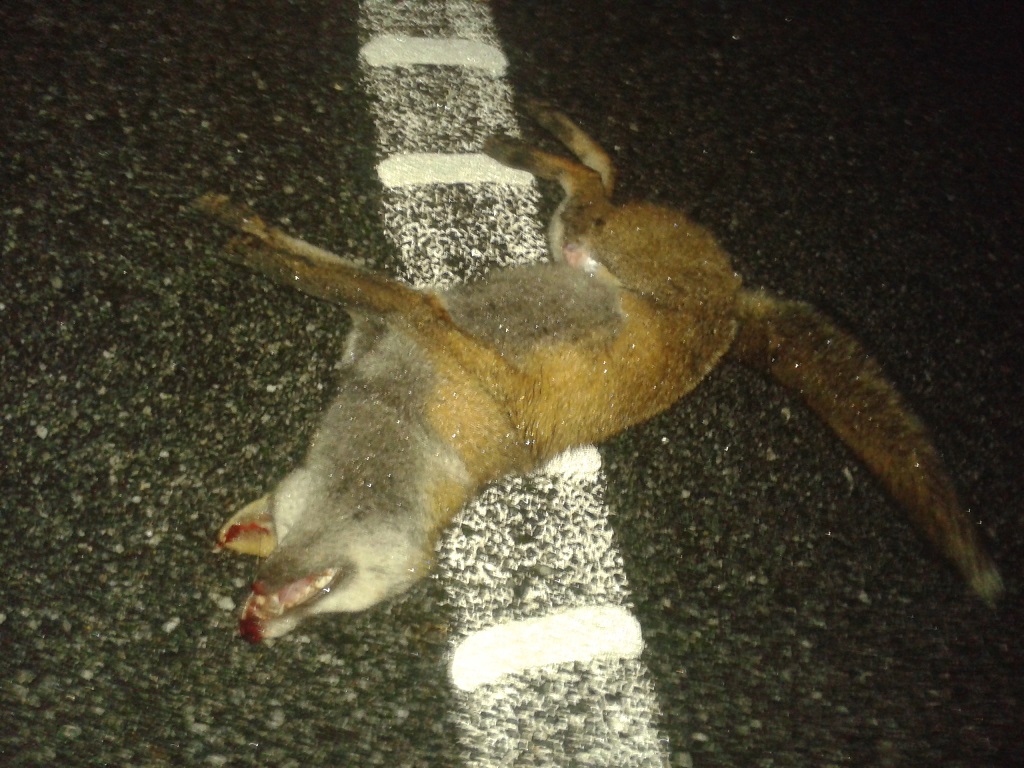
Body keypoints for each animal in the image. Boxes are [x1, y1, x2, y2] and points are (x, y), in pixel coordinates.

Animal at [194, 101, 1002, 643]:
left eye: (342, 608)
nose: (252, 627)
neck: (407, 420)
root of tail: (735, 307)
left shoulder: (426, 318)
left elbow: (331, 276)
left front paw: (250, 243)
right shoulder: (385, 329)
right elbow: (330, 271)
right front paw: (249, 225)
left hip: (598, 238)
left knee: (596, 174)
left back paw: (523, 138)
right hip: (571, 242)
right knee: (597, 174)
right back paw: (534, 136)